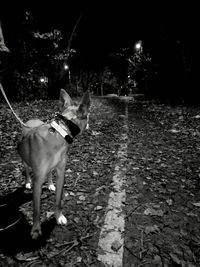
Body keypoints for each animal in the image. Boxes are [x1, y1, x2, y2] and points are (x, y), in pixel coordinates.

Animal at [17, 89, 90, 240]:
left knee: (49, 172)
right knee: (26, 170)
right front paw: (36, 229)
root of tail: (32, 120)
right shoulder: (38, 180)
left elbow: (58, 199)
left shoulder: (61, 173)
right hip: (25, 160)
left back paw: (50, 184)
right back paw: (27, 182)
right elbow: (36, 209)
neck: (60, 132)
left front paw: (59, 216)